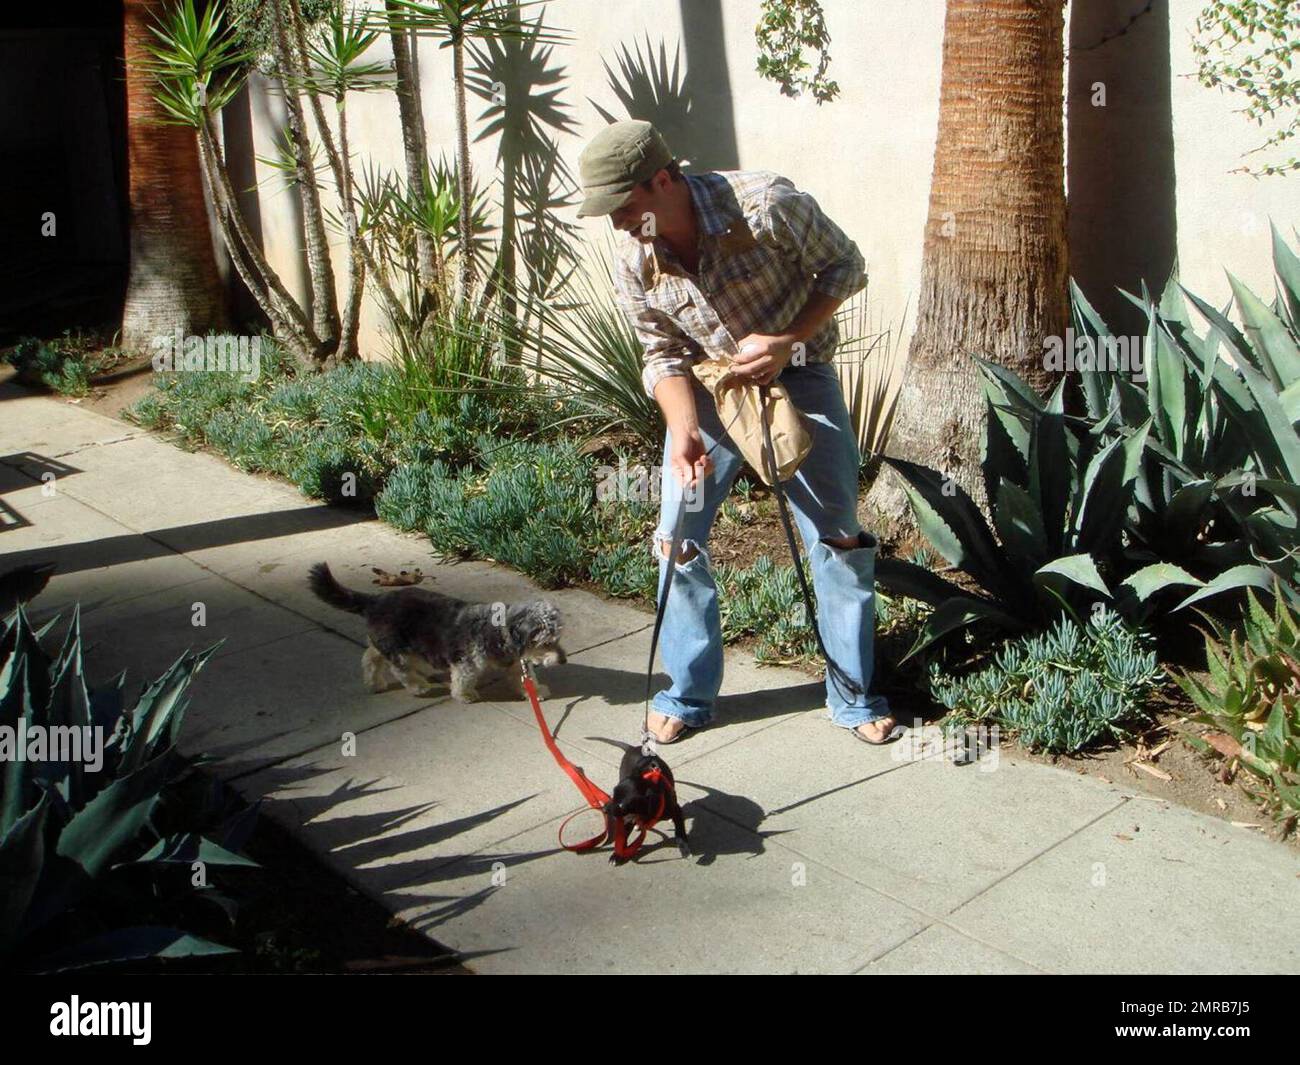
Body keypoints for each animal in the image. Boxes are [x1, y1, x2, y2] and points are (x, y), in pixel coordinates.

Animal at [309, 561, 569, 702]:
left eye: (559, 639)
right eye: (546, 643)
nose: (564, 661)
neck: (500, 633)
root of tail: (375, 600)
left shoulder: (516, 664)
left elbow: (526, 679)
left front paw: (536, 691)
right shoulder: (466, 661)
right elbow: (464, 678)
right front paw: (464, 695)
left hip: (386, 643)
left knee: (370, 657)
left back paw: (375, 683)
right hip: (400, 649)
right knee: (399, 669)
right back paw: (418, 686)